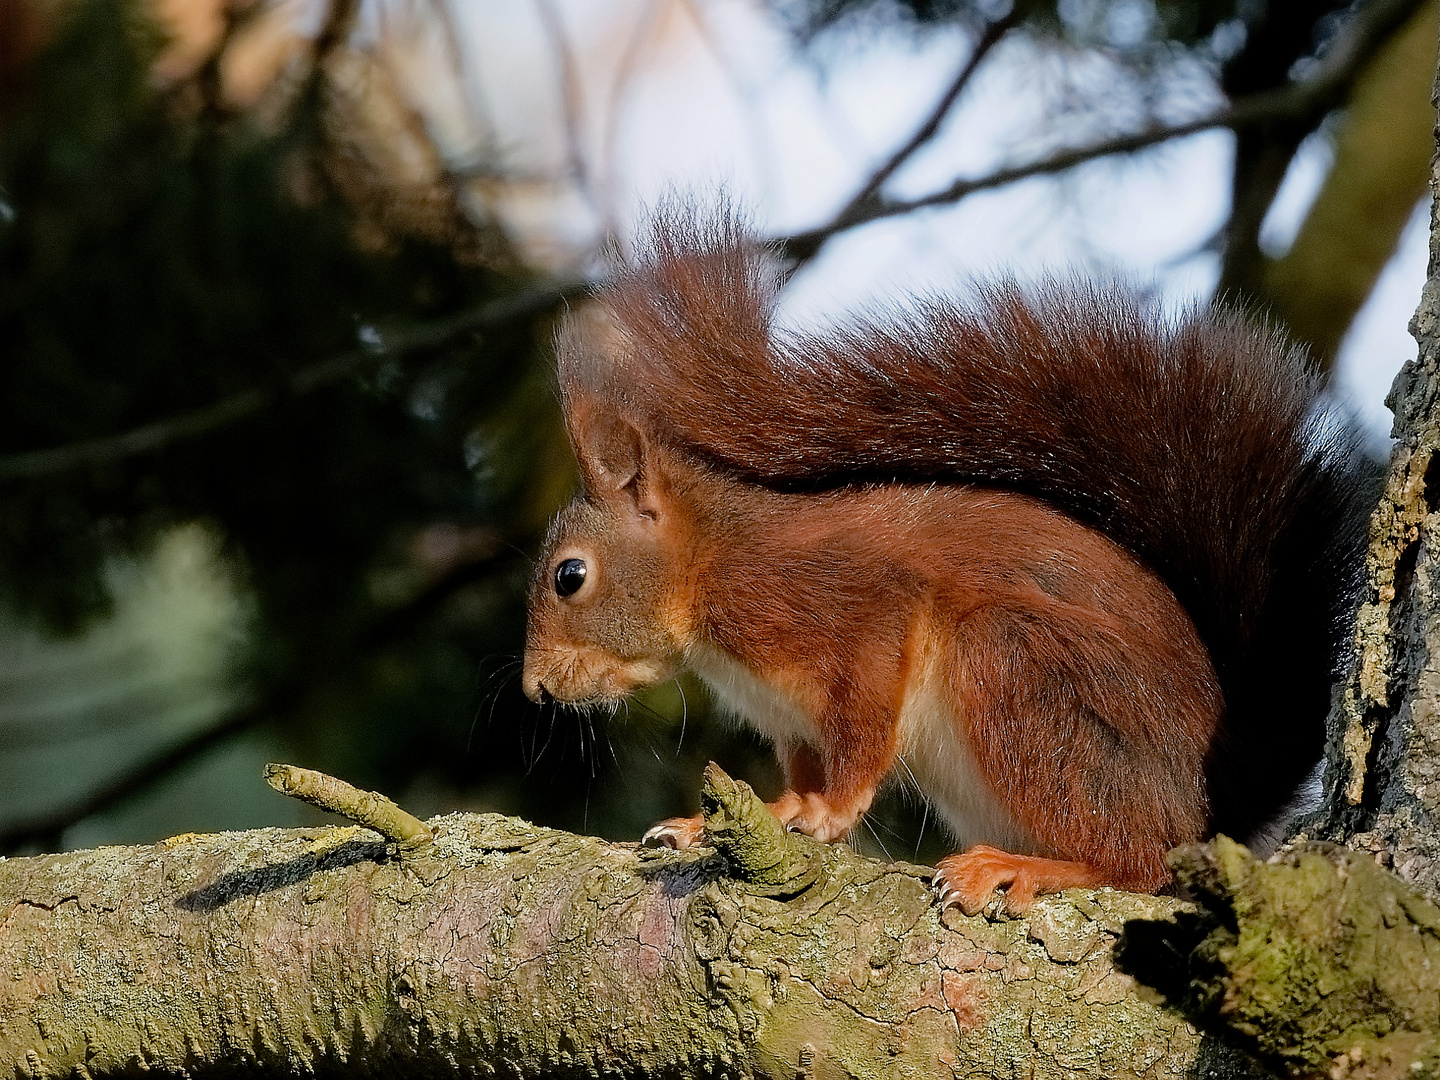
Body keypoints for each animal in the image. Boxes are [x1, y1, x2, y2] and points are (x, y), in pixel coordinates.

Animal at [518, 204, 1359, 915]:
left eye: (570, 576)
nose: (535, 690)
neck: (709, 569)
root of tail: (1220, 800)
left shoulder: (846, 609)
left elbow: (860, 733)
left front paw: (831, 811)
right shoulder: (790, 720)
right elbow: (796, 771)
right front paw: (743, 818)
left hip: (1019, 668)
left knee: (1141, 863)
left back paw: (1023, 867)